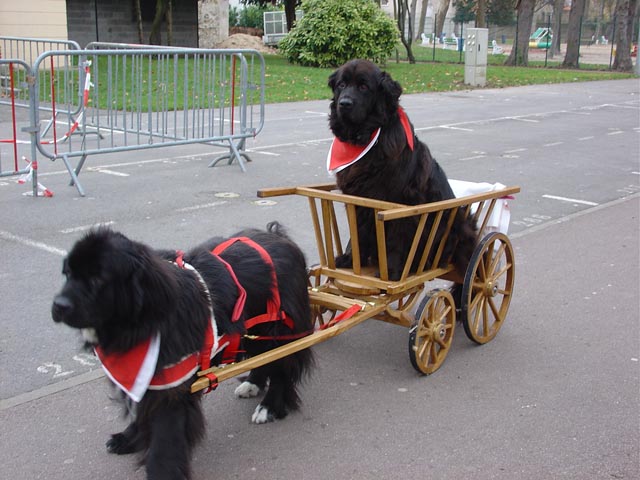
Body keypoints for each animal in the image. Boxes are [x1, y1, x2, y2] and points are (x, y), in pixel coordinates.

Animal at [52, 225, 316, 480]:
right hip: (251, 327)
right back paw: (253, 384)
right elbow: (142, 411)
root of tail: (279, 237)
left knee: (282, 365)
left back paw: (269, 407)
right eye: (68, 273)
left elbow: (165, 438)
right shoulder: (145, 377)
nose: (58, 305)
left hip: (279, 327)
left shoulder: (172, 386)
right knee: (264, 357)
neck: (144, 317)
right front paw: (129, 438)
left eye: (98, 279)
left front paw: (162, 472)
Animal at [328, 58, 478, 286]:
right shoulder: (357, 200)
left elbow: (395, 239)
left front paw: (391, 271)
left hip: (457, 223)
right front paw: (351, 259)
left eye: (364, 87)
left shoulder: (399, 202)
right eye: (341, 85)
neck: (367, 140)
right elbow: (358, 233)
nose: (344, 103)